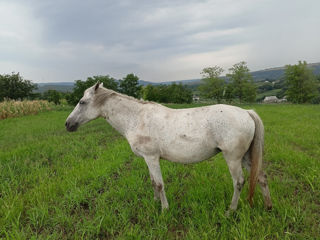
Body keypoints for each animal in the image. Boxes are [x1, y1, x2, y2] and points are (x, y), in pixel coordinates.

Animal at [65, 82, 272, 212]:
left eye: (82, 102)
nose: (68, 124)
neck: (137, 118)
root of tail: (247, 112)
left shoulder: (152, 157)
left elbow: (158, 183)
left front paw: (164, 210)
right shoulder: (148, 160)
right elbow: (152, 182)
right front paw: (155, 202)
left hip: (233, 158)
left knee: (239, 182)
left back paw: (231, 210)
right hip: (245, 157)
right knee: (261, 177)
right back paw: (268, 207)